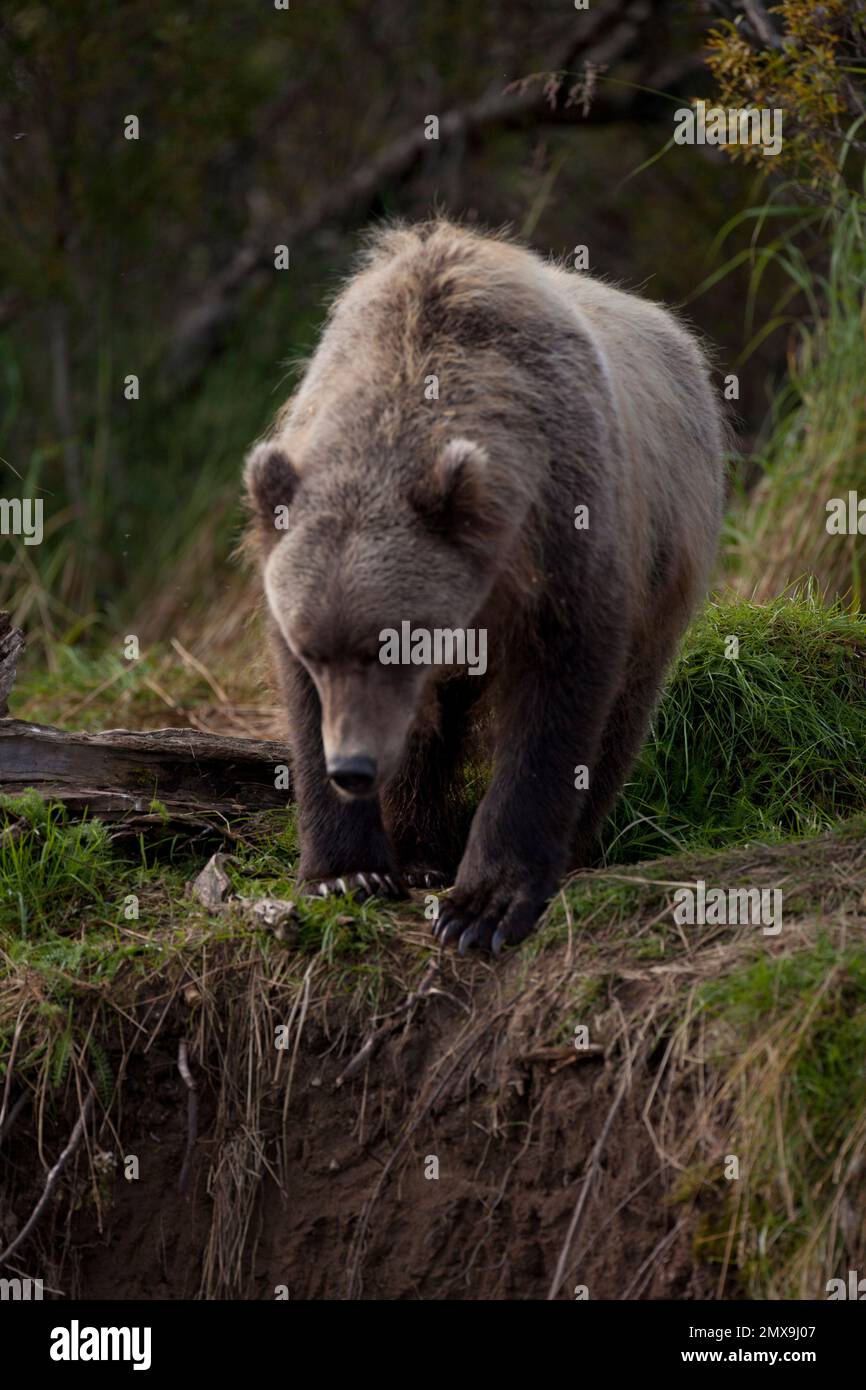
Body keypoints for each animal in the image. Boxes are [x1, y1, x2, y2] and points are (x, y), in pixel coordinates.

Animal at [241, 219, 722, 956]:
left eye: (391, 645)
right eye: (315, 650)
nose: (353, 766)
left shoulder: (568, 532)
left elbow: (555, 708)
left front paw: (483, 906)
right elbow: (310, 707)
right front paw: (348, 872)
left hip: (667, 556)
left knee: (624, 713)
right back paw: (417, 849)